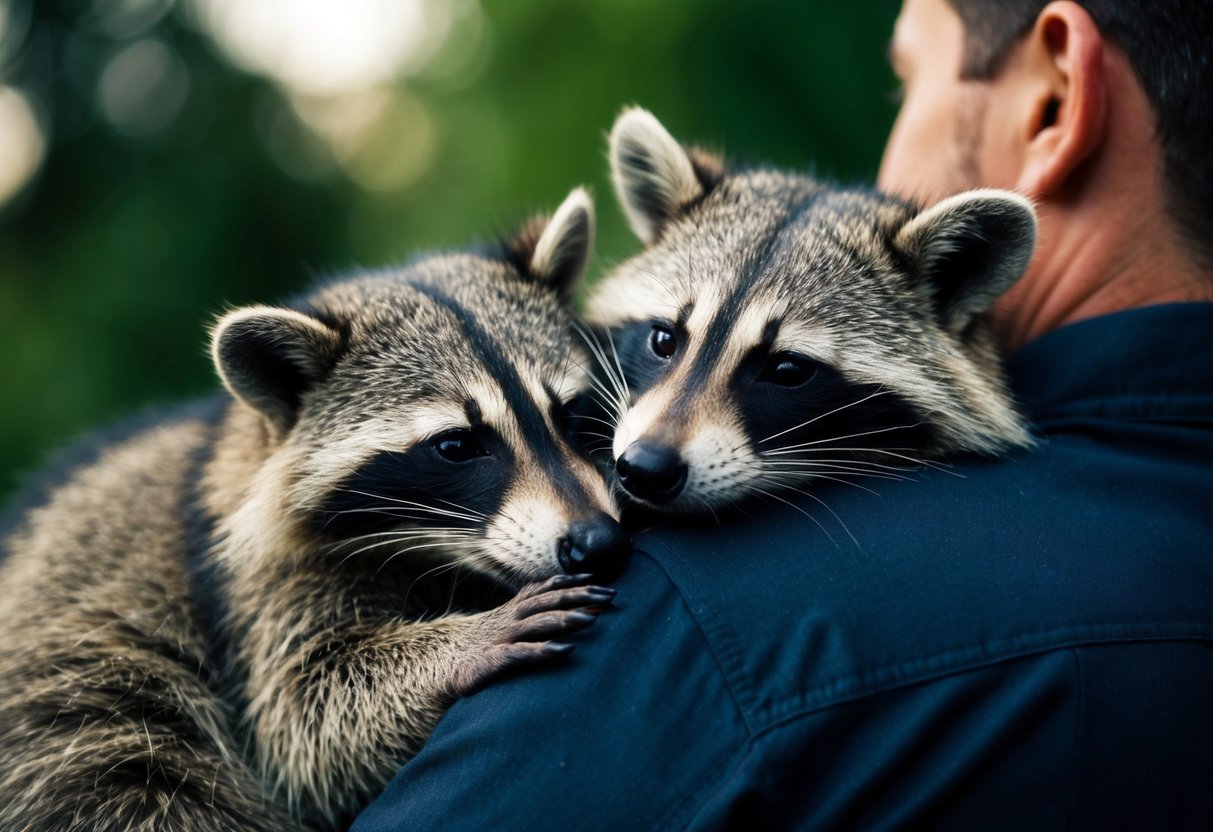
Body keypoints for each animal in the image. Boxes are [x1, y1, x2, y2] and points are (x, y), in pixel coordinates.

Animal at [0, 187, 629, 831]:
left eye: (571, 412)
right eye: (456, 446)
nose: (597, 539)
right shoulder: (252, 590)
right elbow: (308, 723)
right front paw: (462, 645)